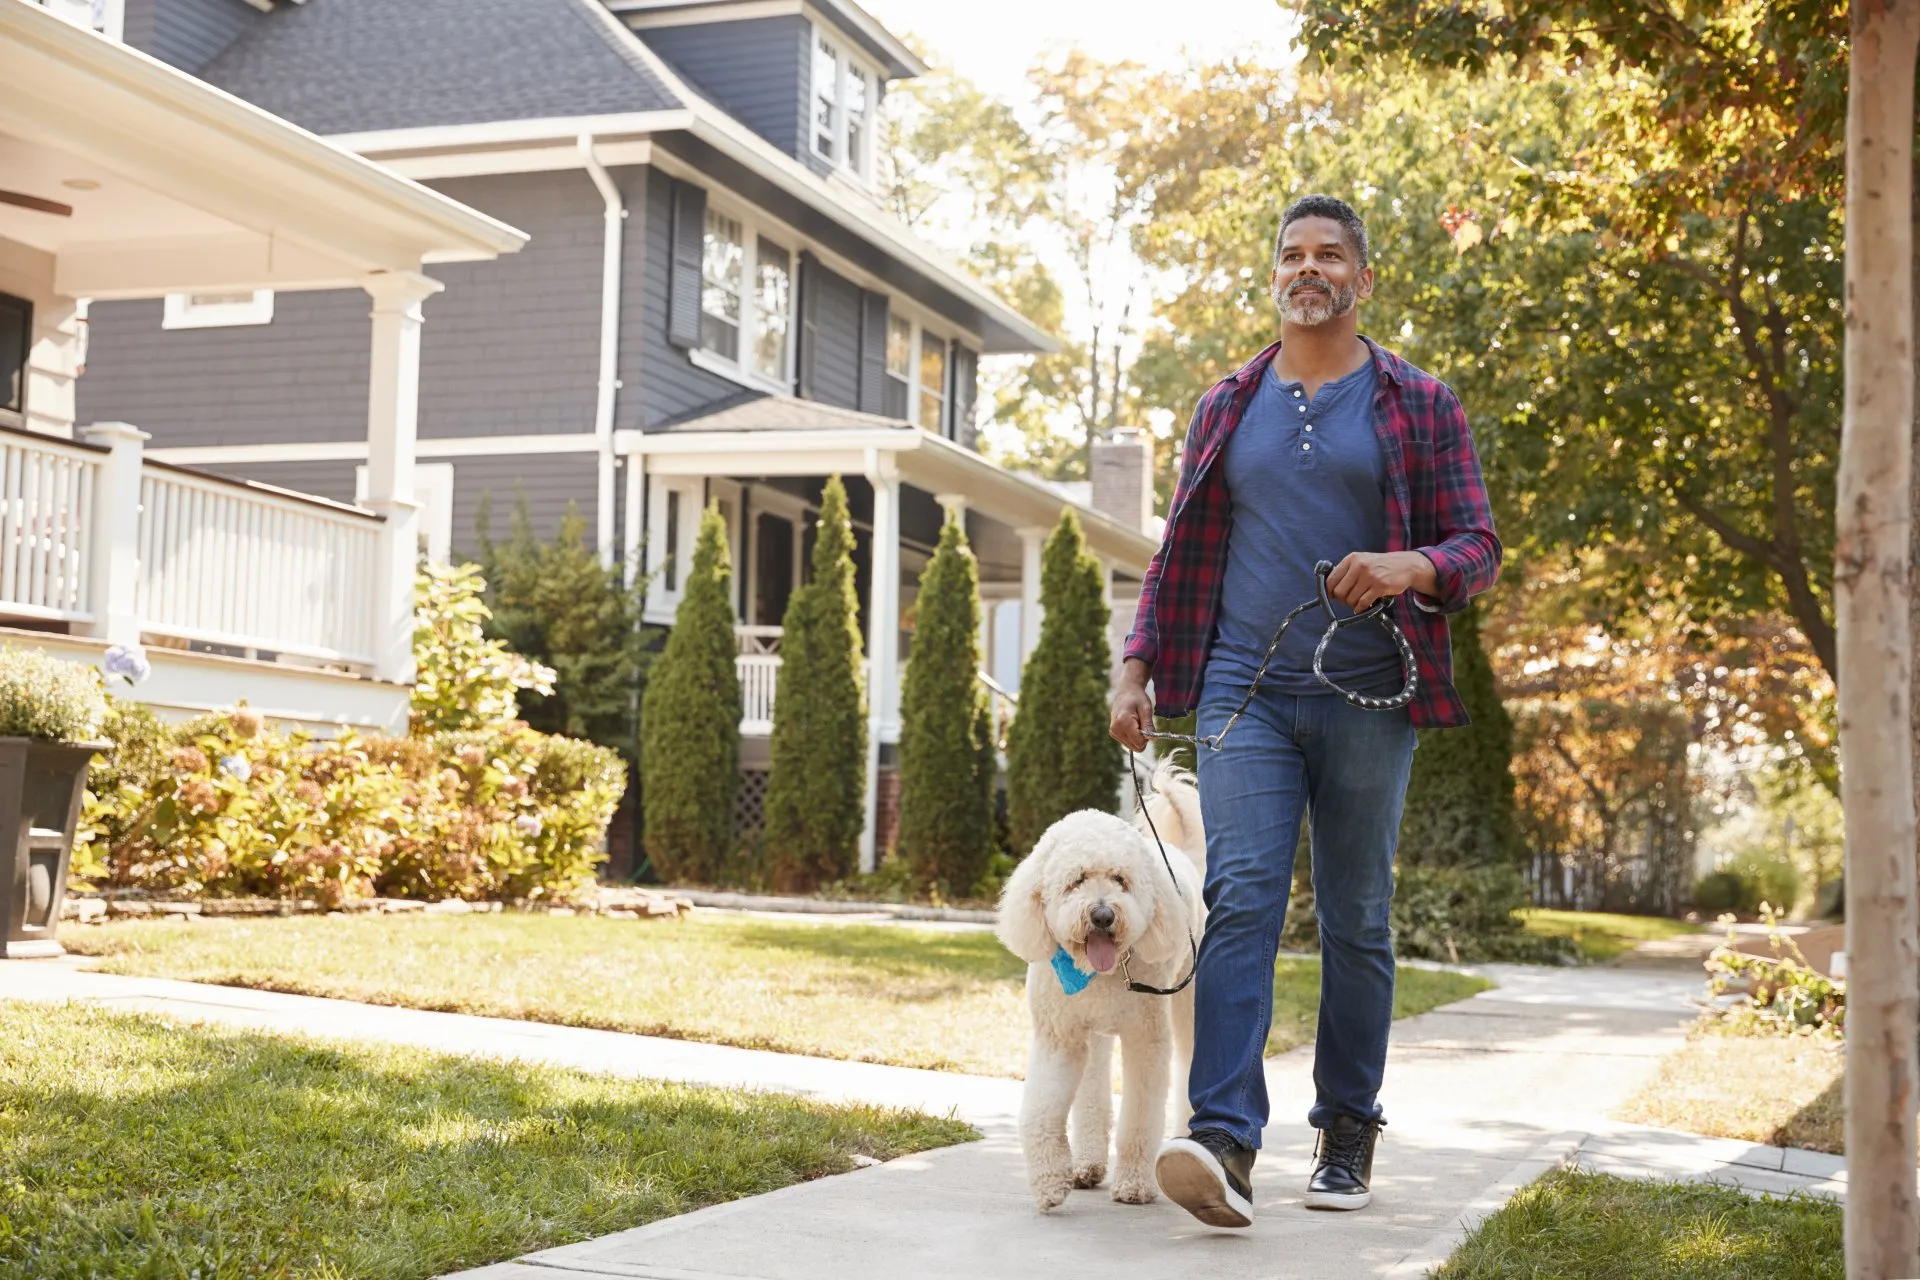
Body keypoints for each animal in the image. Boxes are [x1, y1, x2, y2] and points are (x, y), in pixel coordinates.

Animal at [998, 759, 1205, 1212]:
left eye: (1120, 879)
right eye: (1076, 880)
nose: (1102, 915)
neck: (1097, 972)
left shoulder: (1146, 1039)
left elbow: (1140, 1119)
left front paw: (1134, 1184)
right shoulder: (1059, 1038)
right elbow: (1042, 1110)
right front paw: (1050, 1180)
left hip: (1188, 1005)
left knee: (1190, 1063)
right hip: (1093, 1035)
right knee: (1092, 1092)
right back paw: (1087, 1163)